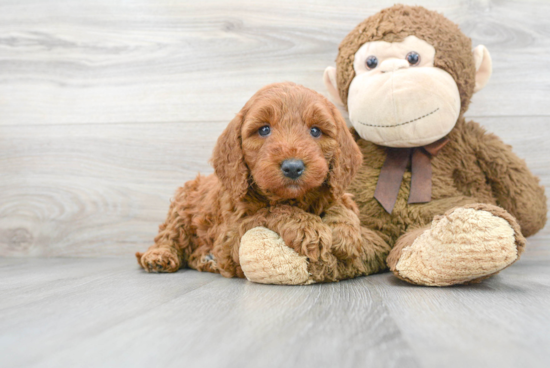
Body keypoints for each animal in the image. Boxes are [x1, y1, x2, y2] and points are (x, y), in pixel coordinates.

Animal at [136, 81, 390, 282]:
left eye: (316, 131)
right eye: (264, 129)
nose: (293, 167)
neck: (295, 198)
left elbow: (342, 203)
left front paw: (345, 232)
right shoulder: (230, 236)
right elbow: (271, 211)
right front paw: (309, 228)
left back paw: (205, 259)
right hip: (180, 208)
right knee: (169, 235)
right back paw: (159, 256)